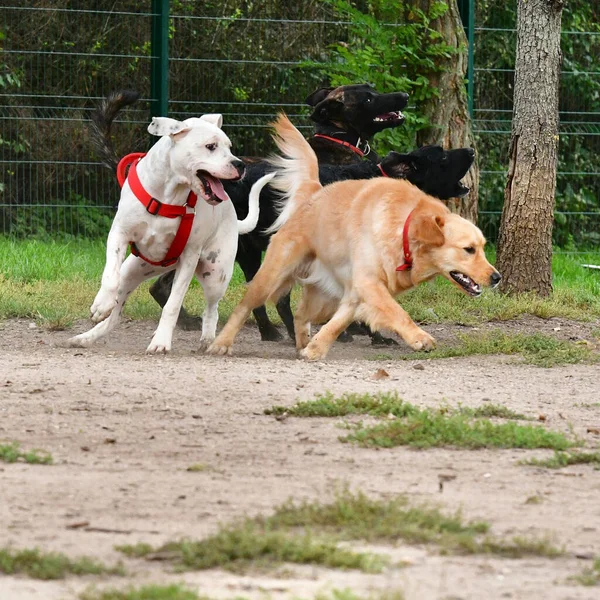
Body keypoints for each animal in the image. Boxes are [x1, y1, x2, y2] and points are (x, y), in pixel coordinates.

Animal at [67, 113, 272, 352]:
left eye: (229, 147)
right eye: (211, 146)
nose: (239, 164)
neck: (166, 195)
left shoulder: (189, 258)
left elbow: (172, 304)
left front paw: (161, 342)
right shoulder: (119, 234)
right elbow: (110, 275)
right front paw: (101, 304)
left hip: (215, 274)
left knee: (212, 309)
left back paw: (209, 340)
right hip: (133, 271)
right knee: (115, 315)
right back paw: (86, 337)